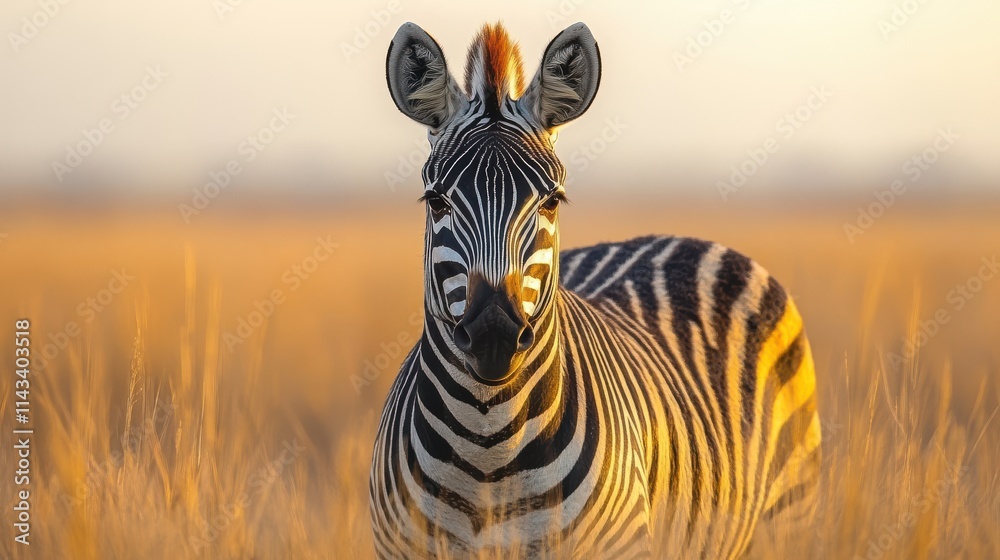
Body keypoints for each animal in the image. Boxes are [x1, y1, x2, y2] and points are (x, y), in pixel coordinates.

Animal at [370, 21, 821, 559]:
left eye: (551, 201)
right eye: (436, 201)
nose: (493, 337)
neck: (487, 450)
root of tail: (679, 237)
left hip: (790, 512)